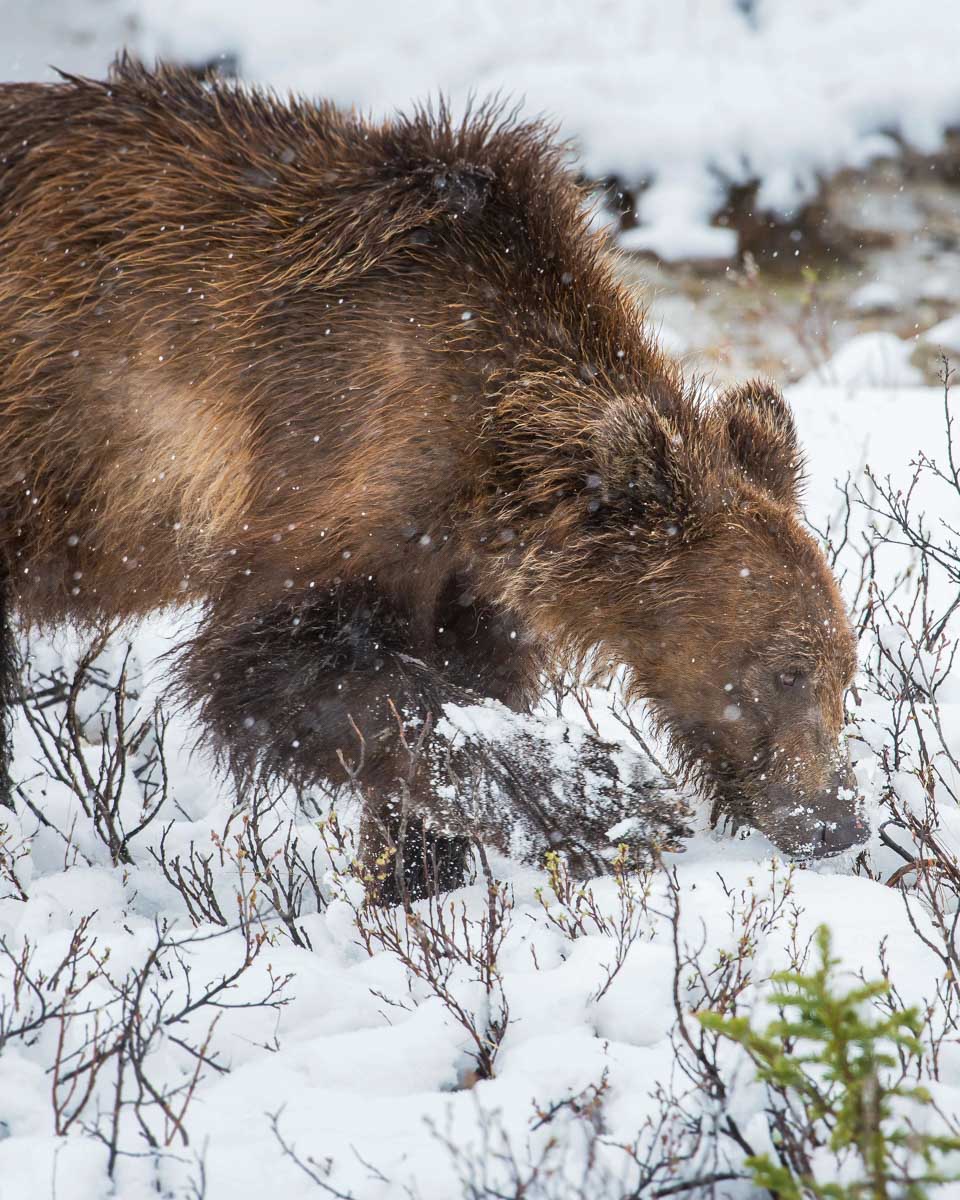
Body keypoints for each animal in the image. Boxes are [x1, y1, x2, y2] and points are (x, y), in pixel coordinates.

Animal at [0, 59, 863, 895]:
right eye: (785, 670)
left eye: (844, 669)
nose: (836, 818)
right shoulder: (336, 445)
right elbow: (274, 664)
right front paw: (595, 801)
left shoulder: (469, 577)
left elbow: (451, 697)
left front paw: (417, 873)